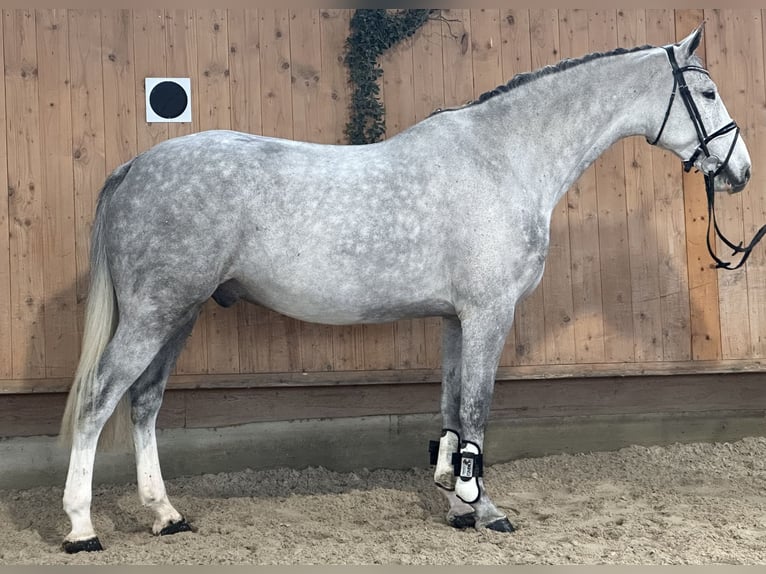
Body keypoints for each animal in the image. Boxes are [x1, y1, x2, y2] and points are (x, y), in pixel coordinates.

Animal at [58, 24, 751, 552]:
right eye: (708, 91)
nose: (740, 171)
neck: (505, 159)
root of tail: (135, 166)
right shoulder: (488, 314)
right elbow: (476, 409)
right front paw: (486, 510)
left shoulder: (454, 319)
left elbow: (451, 407)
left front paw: (457, 501)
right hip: (154, 313)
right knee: (98, 400)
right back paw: (82, 528)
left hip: (179, 315)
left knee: (144, 402)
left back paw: (165, 515)